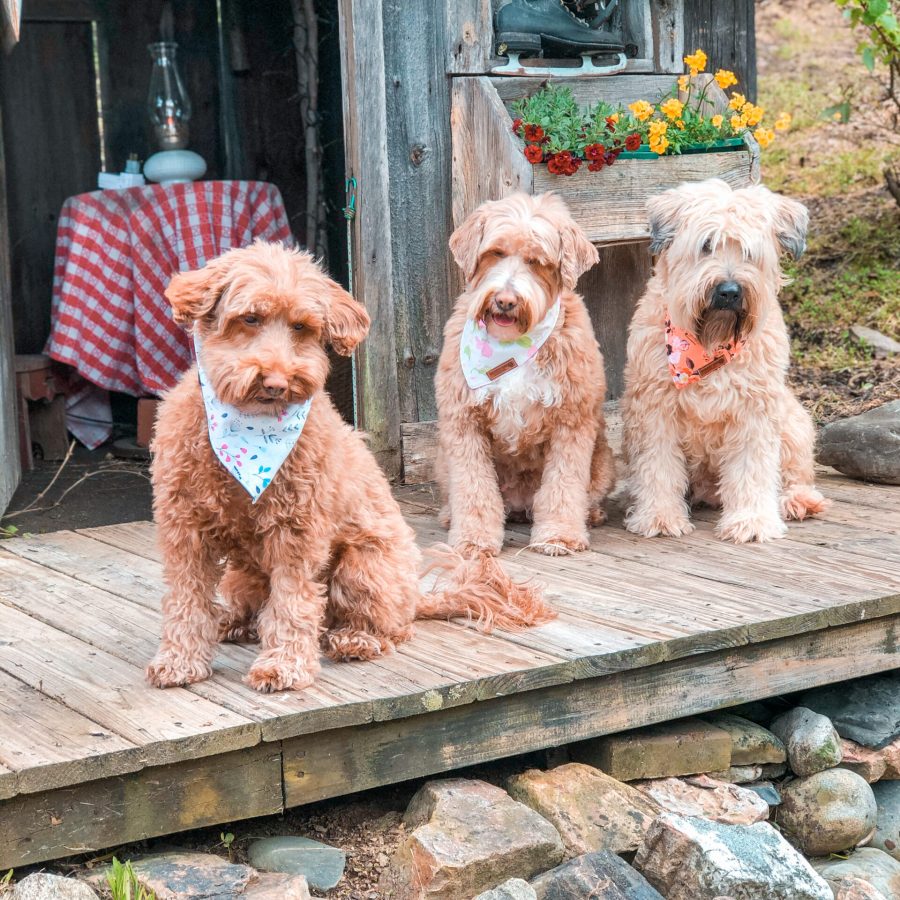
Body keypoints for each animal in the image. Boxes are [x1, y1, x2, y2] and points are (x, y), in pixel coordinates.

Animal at [148, 243, 552, 692]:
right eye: (249, 318)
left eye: (302, 326)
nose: (276, 383)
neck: (250, 435)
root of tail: (417, 596)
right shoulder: (184, 526)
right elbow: (186, 599)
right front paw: (179, 660)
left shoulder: (296, 529)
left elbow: (292, 602)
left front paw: (283, 665)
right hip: (242, 575)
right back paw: (234, 623)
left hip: (364, 566)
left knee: (387, 627)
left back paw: (355, 639)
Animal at [432, 193, 616, 556]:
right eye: (495, 253)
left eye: (536, 261)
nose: (505, 300)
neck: (511, 345)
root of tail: (519, 505)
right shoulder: (463, 421)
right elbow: (474, 489)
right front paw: (473, 538)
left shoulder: (572, 420)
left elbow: (563, 485)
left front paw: (559, 534)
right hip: (442, 461)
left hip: (604, 462)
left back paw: (591, 514)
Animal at [624, 176, 828, 540]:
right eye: (706, 245)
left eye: (749, 251)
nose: (730, 291)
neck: (708, 346)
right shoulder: (654, 410)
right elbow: (658, 466)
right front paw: (660, 516)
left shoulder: (755, 411)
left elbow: (752, 468)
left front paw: (751, 521)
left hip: (793, 422)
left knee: (795, 472)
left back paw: (797, 500)